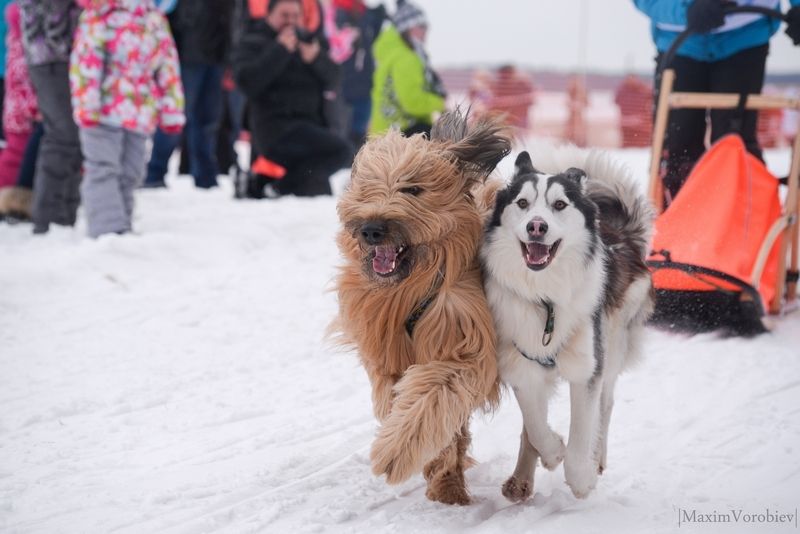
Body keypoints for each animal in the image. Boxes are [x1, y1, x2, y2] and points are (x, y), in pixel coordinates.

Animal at [332, 113, 510, 506]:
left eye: (412, 189)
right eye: (367, 188)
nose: (371, 229)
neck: (409, 287)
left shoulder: (462, 343)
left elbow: (433, 396)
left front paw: (393, 454)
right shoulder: (387, 356)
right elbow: (402, 399)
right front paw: (432, 463)